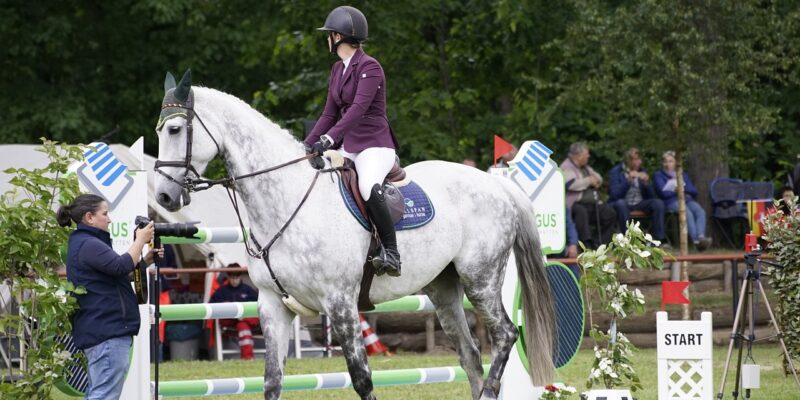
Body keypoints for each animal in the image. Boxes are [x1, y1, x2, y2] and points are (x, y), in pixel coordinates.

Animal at [155, 72, 556, 400]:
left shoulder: (340, 302)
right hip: (443, 288)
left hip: (481, 278)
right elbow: (272, 382)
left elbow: (361, 378)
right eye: (158, 133)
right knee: (470, 354)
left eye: (174, 130)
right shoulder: (273, 305)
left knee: (505, 334)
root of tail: (496, 184)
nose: (163, 196)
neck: (285, 200)